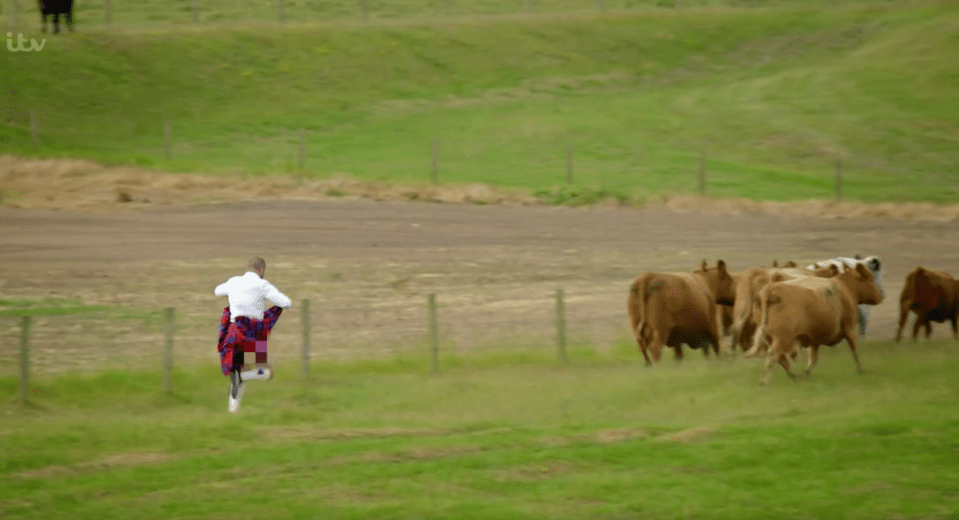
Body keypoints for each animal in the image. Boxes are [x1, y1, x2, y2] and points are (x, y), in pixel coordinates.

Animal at [748, 264, 888, 386]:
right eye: (869, 277)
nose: (881, 296)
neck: (844, 288)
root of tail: (770, 289)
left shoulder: (813, 339)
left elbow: (813, 360)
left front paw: (806, 375)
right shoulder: (850, 328)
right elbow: (855, 351)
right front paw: (860, 371)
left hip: (769, 337)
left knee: (781, 358)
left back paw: (794, 377)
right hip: (781, 337)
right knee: (774, 355)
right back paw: (764, 381)